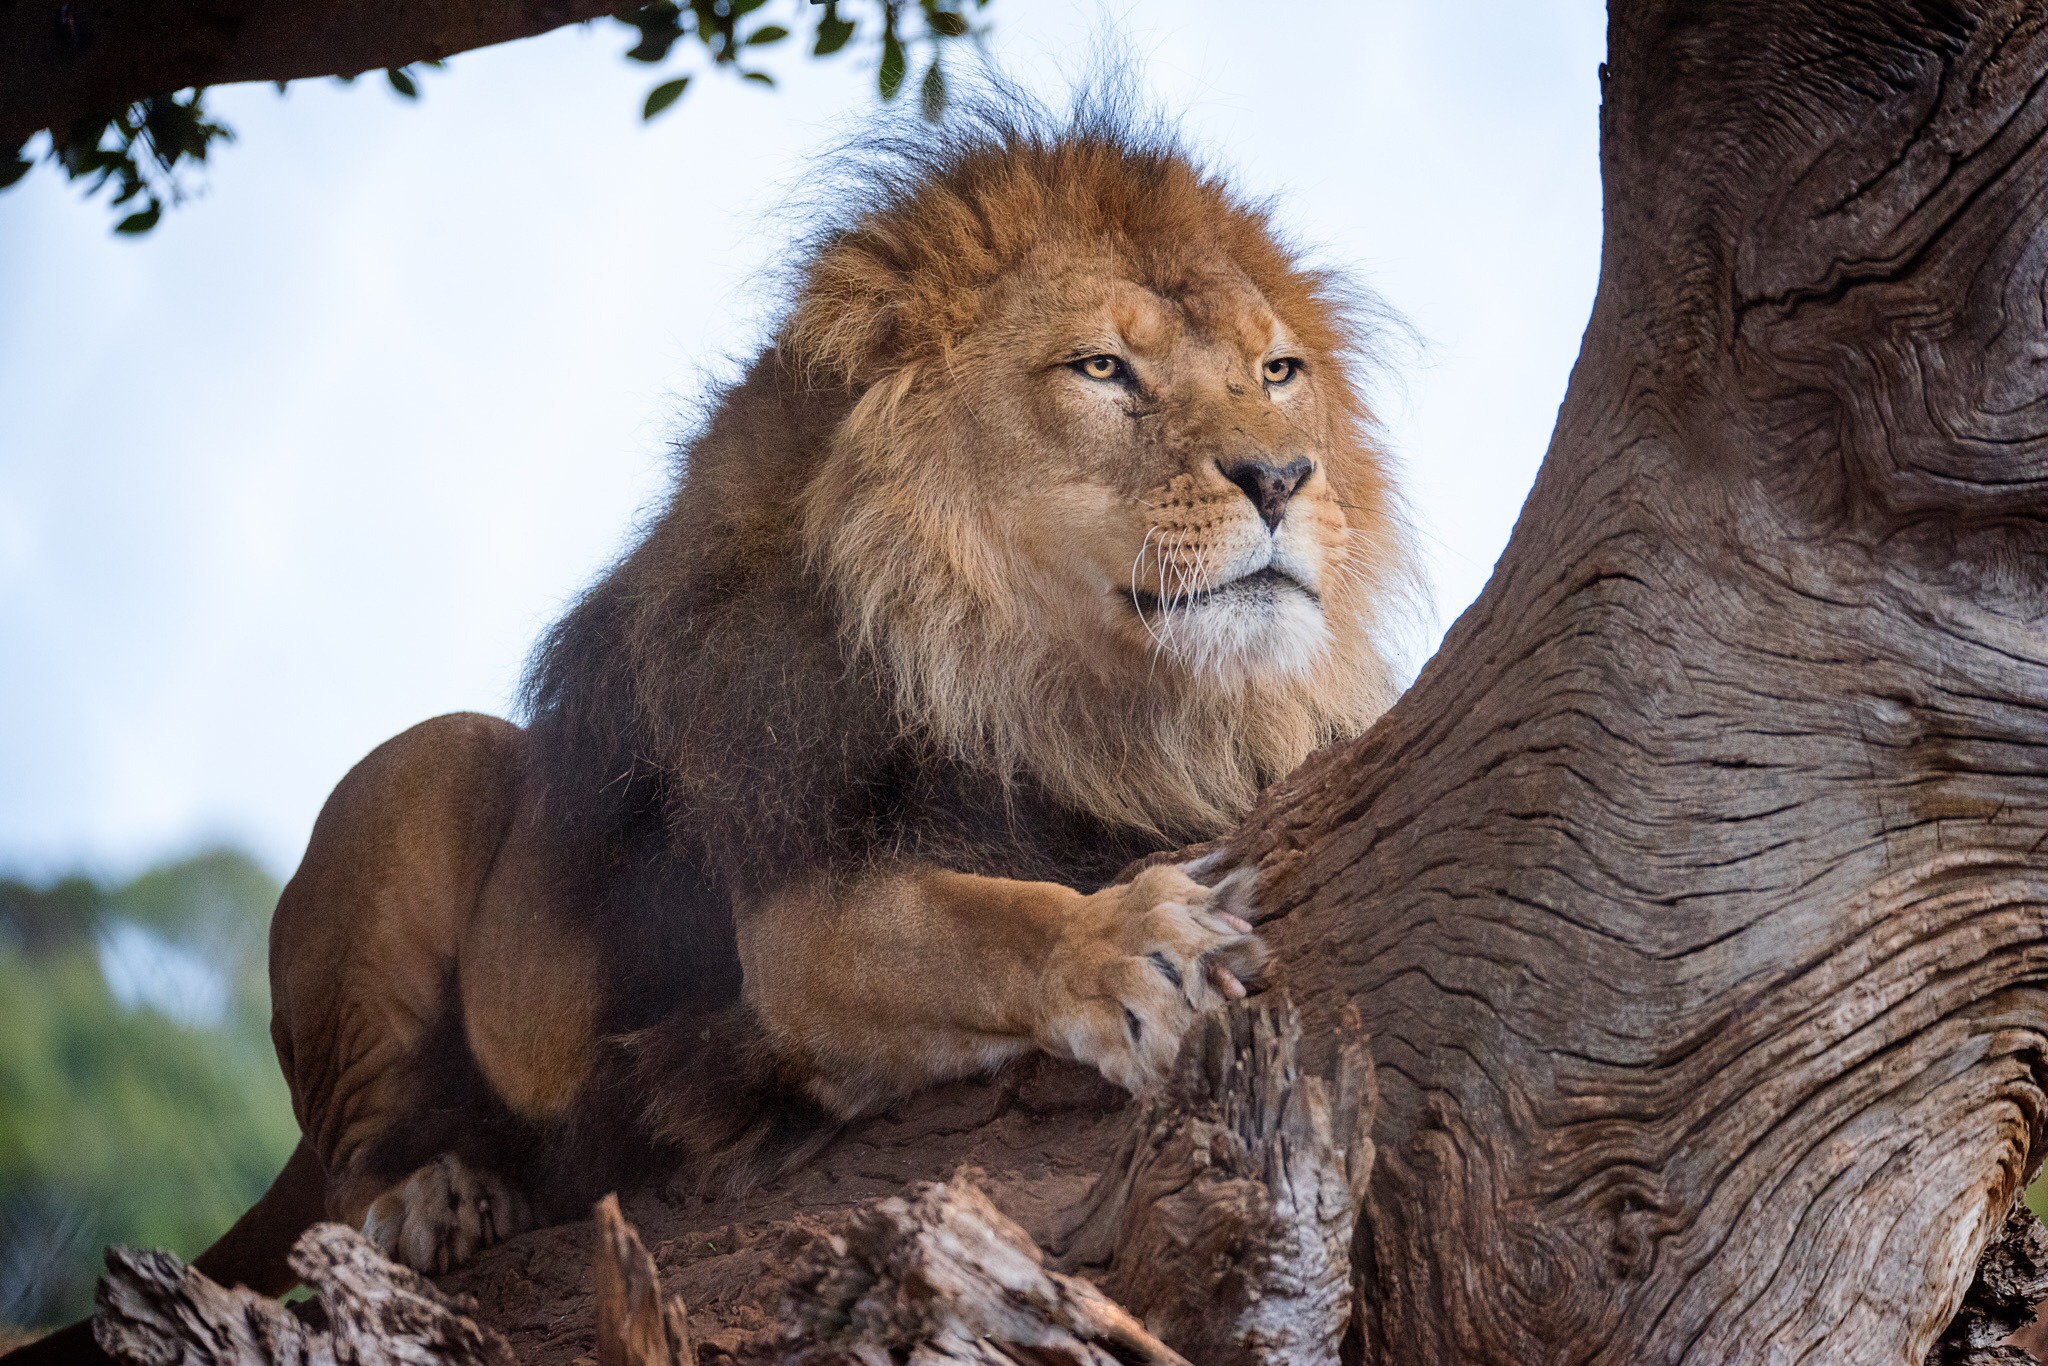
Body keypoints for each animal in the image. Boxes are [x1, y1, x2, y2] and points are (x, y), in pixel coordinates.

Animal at [19, 93, 1425, 1335]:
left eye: (1277, 371)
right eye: (1101, 368)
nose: (1281, 477)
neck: (1084, 696)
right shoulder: (796, 918)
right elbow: (986, 920)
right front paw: (1131, 944)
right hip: (422, 769)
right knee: (344, 1163)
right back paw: (428, 1197)